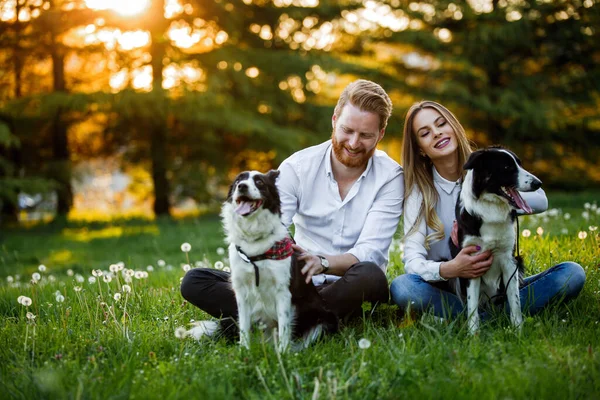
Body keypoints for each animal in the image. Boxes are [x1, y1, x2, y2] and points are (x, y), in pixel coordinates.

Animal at [185, 170, 338, 352]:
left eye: (259, 182)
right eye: (238, 180)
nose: (242, 186)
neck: (254, 241)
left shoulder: (283, 292)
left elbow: (284, 327)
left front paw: (283, 354)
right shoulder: (241, 291)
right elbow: (244, 328)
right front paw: (245, 351)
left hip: (323, 319)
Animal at [452, 147, 540, 334]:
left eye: (519, 164)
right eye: (507, 167)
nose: (538, 183)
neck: (491, 207)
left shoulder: (510, 261)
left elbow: (515, 303)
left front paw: (518, 332)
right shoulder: (470, 263)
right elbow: (472, 308)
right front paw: (473, 335)